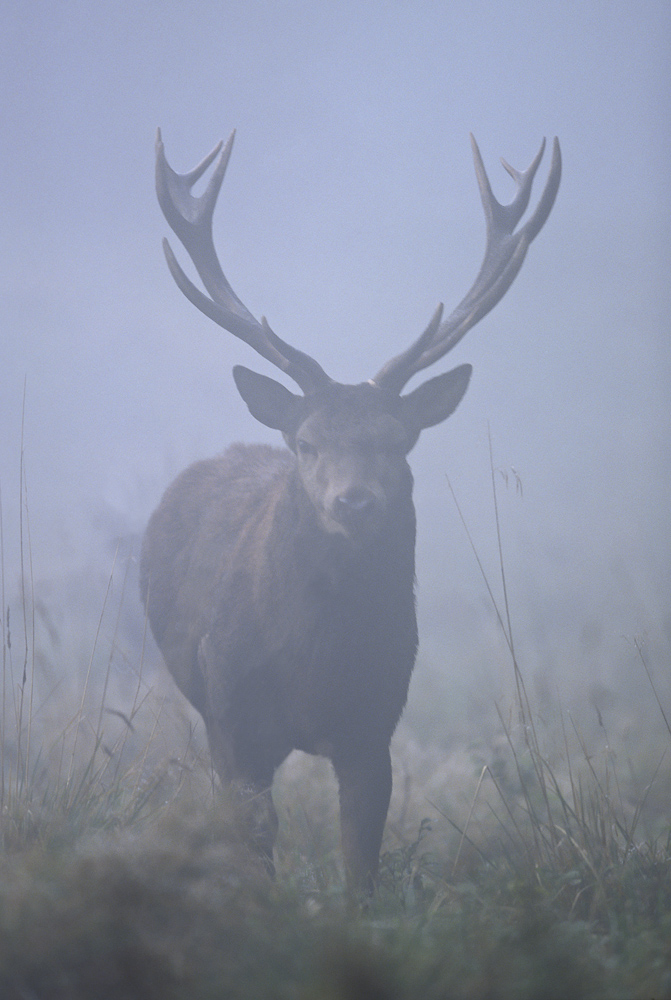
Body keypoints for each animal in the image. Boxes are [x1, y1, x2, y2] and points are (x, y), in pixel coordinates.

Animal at [142, 129, 560, 896]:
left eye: (396, 441)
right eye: (307, 442)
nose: (354, 500)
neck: (313, 662)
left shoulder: (376, 722)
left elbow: (360, 865)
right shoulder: (232, 716)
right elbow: (256, 847)